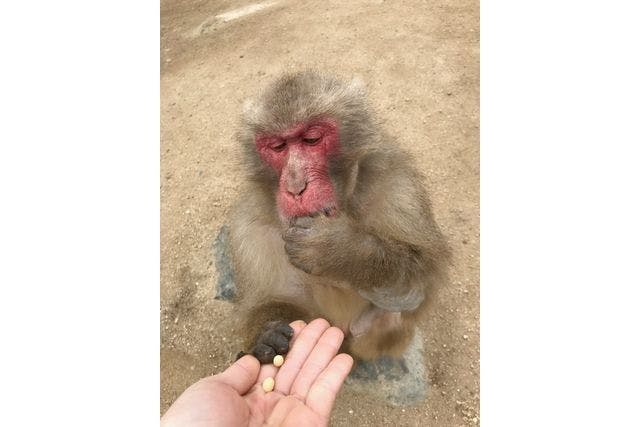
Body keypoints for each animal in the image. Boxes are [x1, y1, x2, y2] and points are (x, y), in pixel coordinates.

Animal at [228, 71, 452, 364]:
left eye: (312, 139)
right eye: (277, 146)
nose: (295, 187)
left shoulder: (395, 183)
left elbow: (422, 281)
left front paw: (336, 249)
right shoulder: (250, 229)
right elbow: (274, 298)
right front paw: (268, 334)